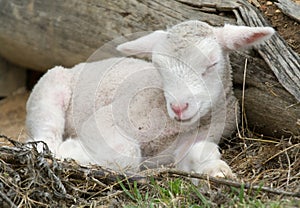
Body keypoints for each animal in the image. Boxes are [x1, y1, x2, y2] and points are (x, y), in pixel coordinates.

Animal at [25, 20, 274, 177]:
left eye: (212, 63)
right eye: (159, 67)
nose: (179, 107)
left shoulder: (195, 140)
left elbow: (202, 153)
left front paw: (218, 171)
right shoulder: (106, 119)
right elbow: (126, 153)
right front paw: (73, 150)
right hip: (48, 92)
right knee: (45, 136)